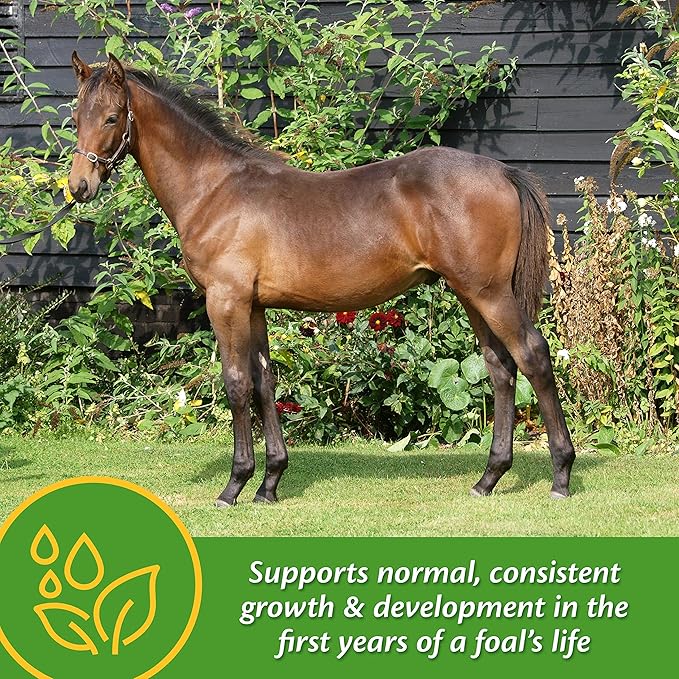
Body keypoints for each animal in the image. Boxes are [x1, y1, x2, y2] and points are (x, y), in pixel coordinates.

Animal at [68, 52, 575, 507]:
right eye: (75, 117)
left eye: (111, 117)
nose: (78, 187)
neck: (215, 190)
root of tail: (503, 172)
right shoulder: (254, 305)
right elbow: (264, 382)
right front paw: (269, 484)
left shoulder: (226, 301)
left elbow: (236, 384)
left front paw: (234, 486)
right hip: (473, 294)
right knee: (500, 367)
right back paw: (489, 478)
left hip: (490, 294)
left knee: (532, 356)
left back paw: (561, 475)